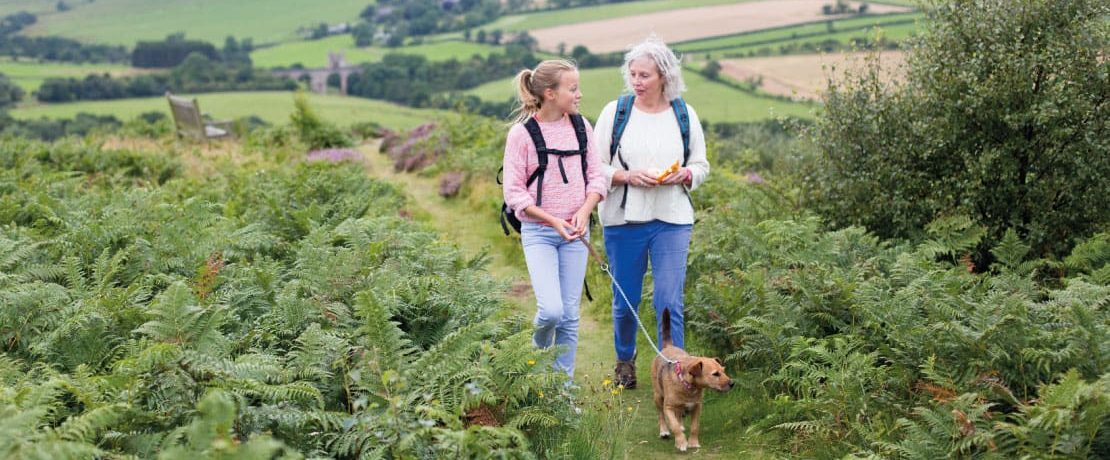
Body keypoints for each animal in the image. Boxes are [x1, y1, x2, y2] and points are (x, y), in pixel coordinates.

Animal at [648, 306, 732, 451]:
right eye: (715, 374)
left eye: (723, 371)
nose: (732, 383)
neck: (688, 385)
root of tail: (668, 346)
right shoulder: (668, 407)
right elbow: (674, 426)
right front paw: (681, 442)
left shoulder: (697, 407)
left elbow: (694, 427)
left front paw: (693, 442)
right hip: (658, 396)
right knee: (661, 415)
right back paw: (664, 431)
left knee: (679, 414)